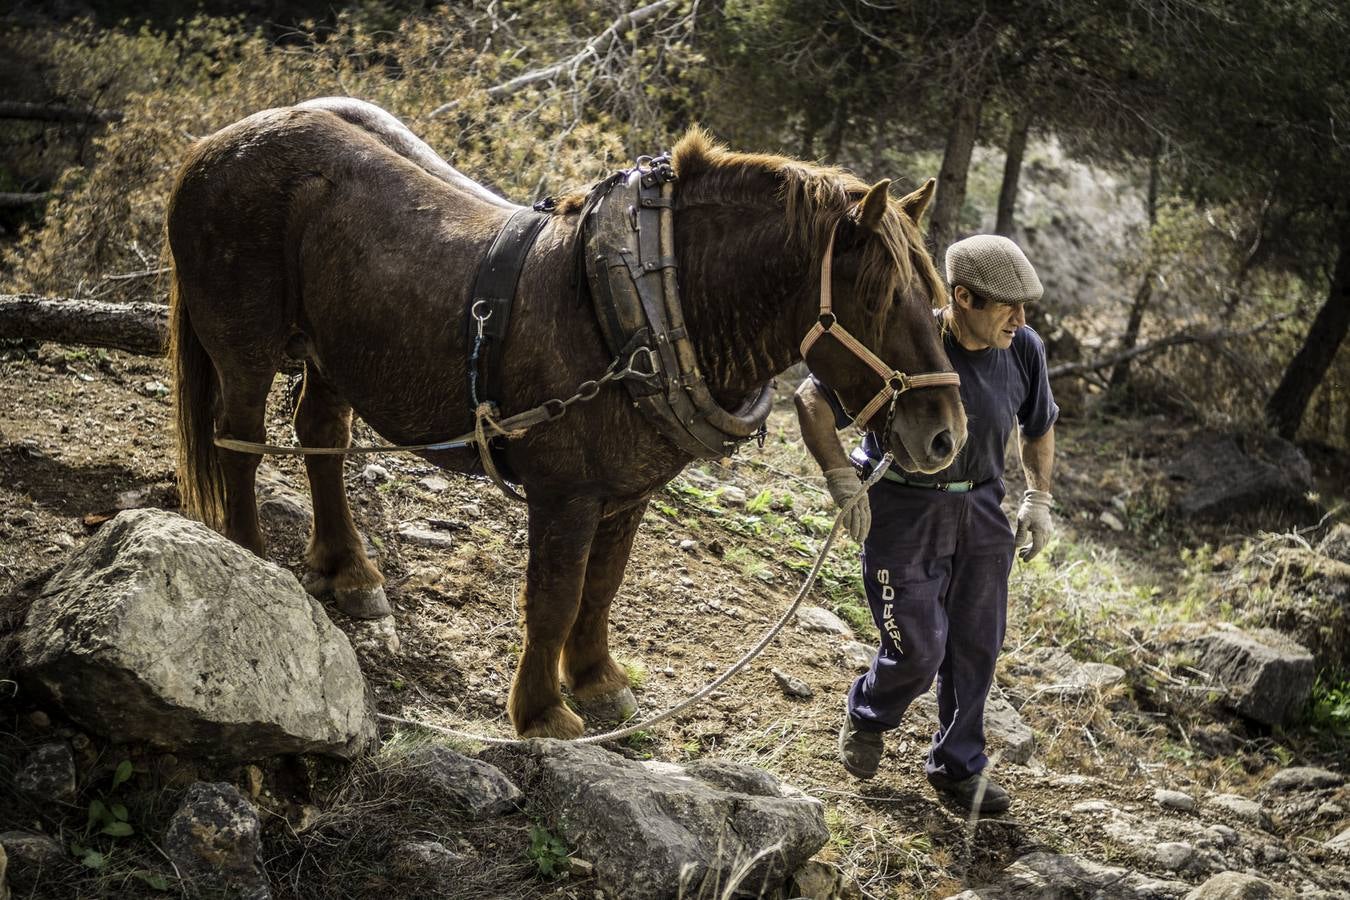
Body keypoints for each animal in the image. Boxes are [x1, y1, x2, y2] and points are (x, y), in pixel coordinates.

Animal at [168, 98, 966, 739]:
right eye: (877, 299)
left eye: (935, 298)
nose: (944, 436)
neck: (648, 301)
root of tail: (211, 146)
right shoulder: (566, 494)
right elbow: (551, 597)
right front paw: (542, 711)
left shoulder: (628, 493)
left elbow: (600, 587)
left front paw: (597, 680)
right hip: (245, 346)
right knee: (240, 443)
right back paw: (252, 562)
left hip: (333, 352)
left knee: (321, 438)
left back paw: (349, 569)